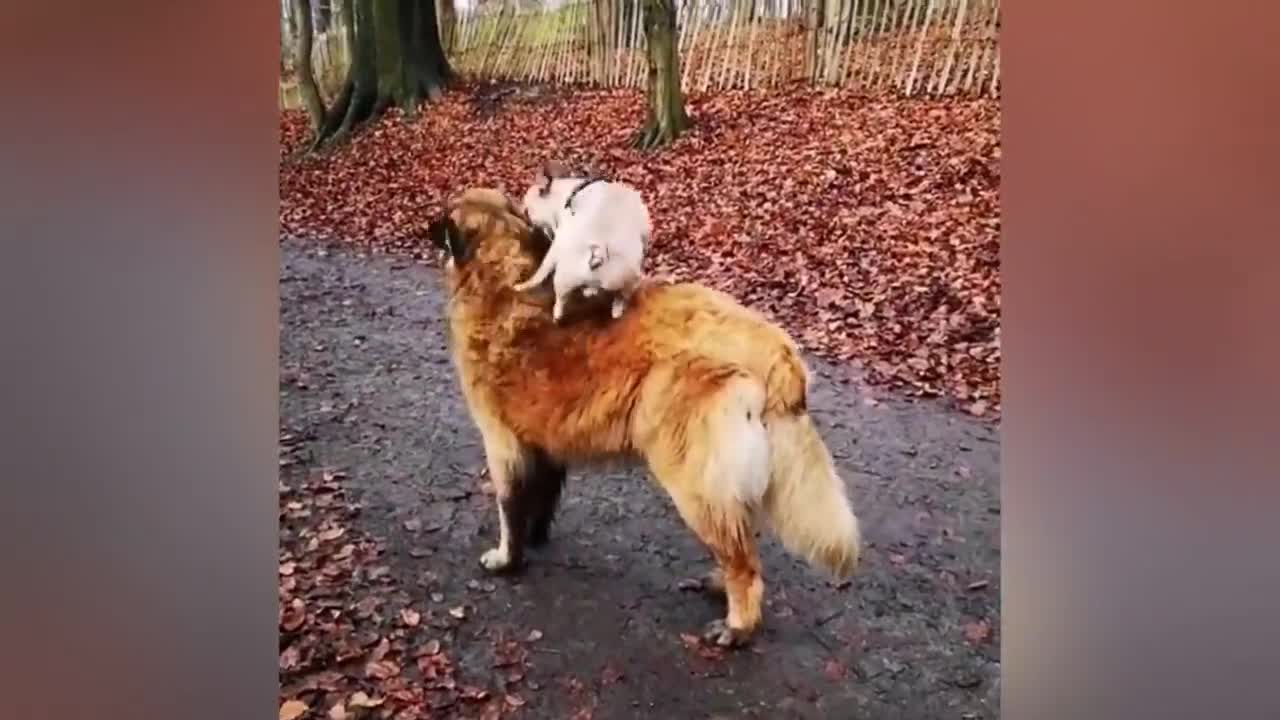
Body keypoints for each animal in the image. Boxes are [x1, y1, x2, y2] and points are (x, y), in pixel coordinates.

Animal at [427, 184, 860, 645]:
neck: (501, 276)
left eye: (445, 218)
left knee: (745, 564)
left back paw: (738, 625)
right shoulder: (546, 444)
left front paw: (508, 558)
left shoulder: (503, 444)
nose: (426, 225)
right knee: (742, 540)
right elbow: (541, 499)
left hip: (692, 480)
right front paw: (537, 537)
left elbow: (510, 508)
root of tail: (775, 351)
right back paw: (719, 583)